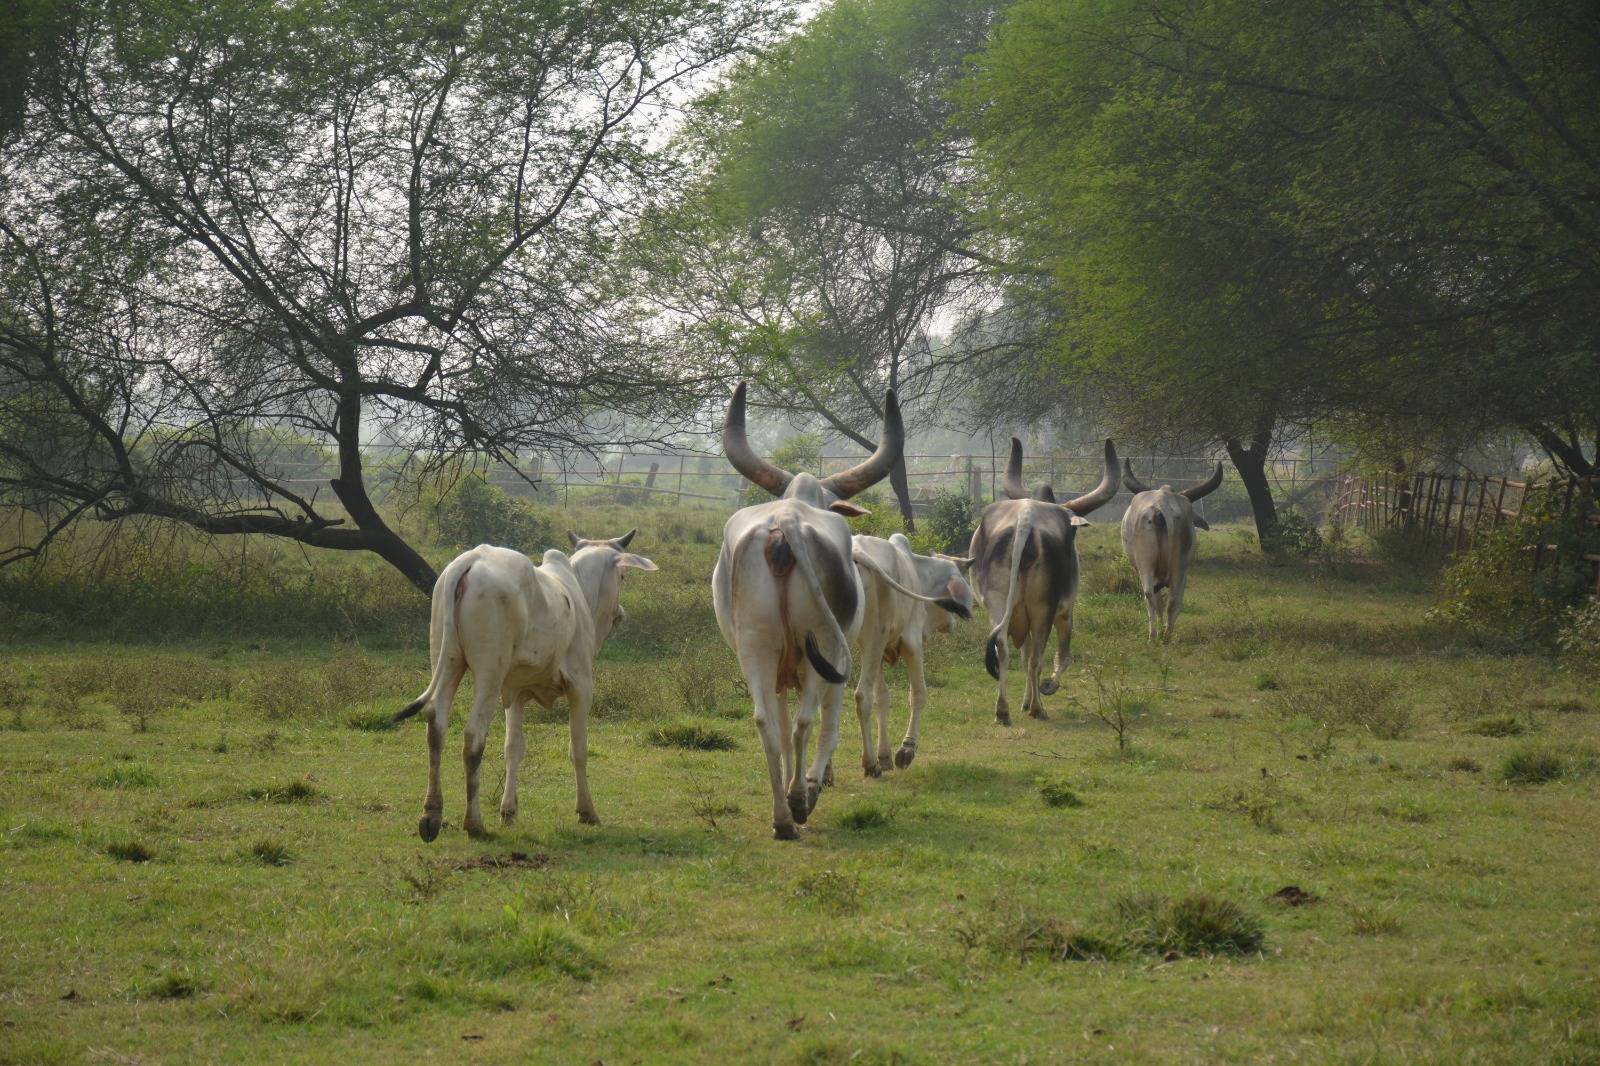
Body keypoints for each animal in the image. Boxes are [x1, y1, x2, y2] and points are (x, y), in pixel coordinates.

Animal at [393, 531, 658, 842]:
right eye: (623, 575)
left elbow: (513, 748)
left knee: (436, 726)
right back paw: (474, 823)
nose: (621, 613)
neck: (578, 589)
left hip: (446, 660)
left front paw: (508, 810)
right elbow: (578, 749)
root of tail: (470, 560)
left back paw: (431, 816)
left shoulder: (515, 692)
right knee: (473, 736)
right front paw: (587, 811)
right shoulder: (581, 685)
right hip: (489, 672)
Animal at [714, 382, 959, 839]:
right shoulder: (840, 658)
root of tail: (787, 524)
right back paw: (800, 799)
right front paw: (823, 778)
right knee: (809, 722)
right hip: (825, 650)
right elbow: (831, 721)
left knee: (769, 726)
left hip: (756, 648)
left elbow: (783, 724)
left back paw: (782, 818)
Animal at [848, 533, 974, 777]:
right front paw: (907, 749)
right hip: (873, 638)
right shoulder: (910, 642)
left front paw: (885, 755)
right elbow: (918, 693)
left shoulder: (877, 654)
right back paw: (869, 764)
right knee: (861, 697)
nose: (952, 624)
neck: (916, 570)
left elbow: (882, 698)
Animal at [969, 438, 1120, 724]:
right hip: (1043, 608)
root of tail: (1025, 518)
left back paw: (1002, 710)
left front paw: (1025, 701)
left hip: (997, 603)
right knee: (1037, 658)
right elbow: (1063, 656)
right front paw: (1046, 689)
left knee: (1003, 650)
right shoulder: (1065, 611)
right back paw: (1038, 709)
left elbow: (1024, 654)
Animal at [1120, 459, 1224, 642]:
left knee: (1151, 595)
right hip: (1176, 566)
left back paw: (1155, 635)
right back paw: (1165, 634)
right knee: (1170, 599)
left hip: (1148, 564)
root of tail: (1162, 503)